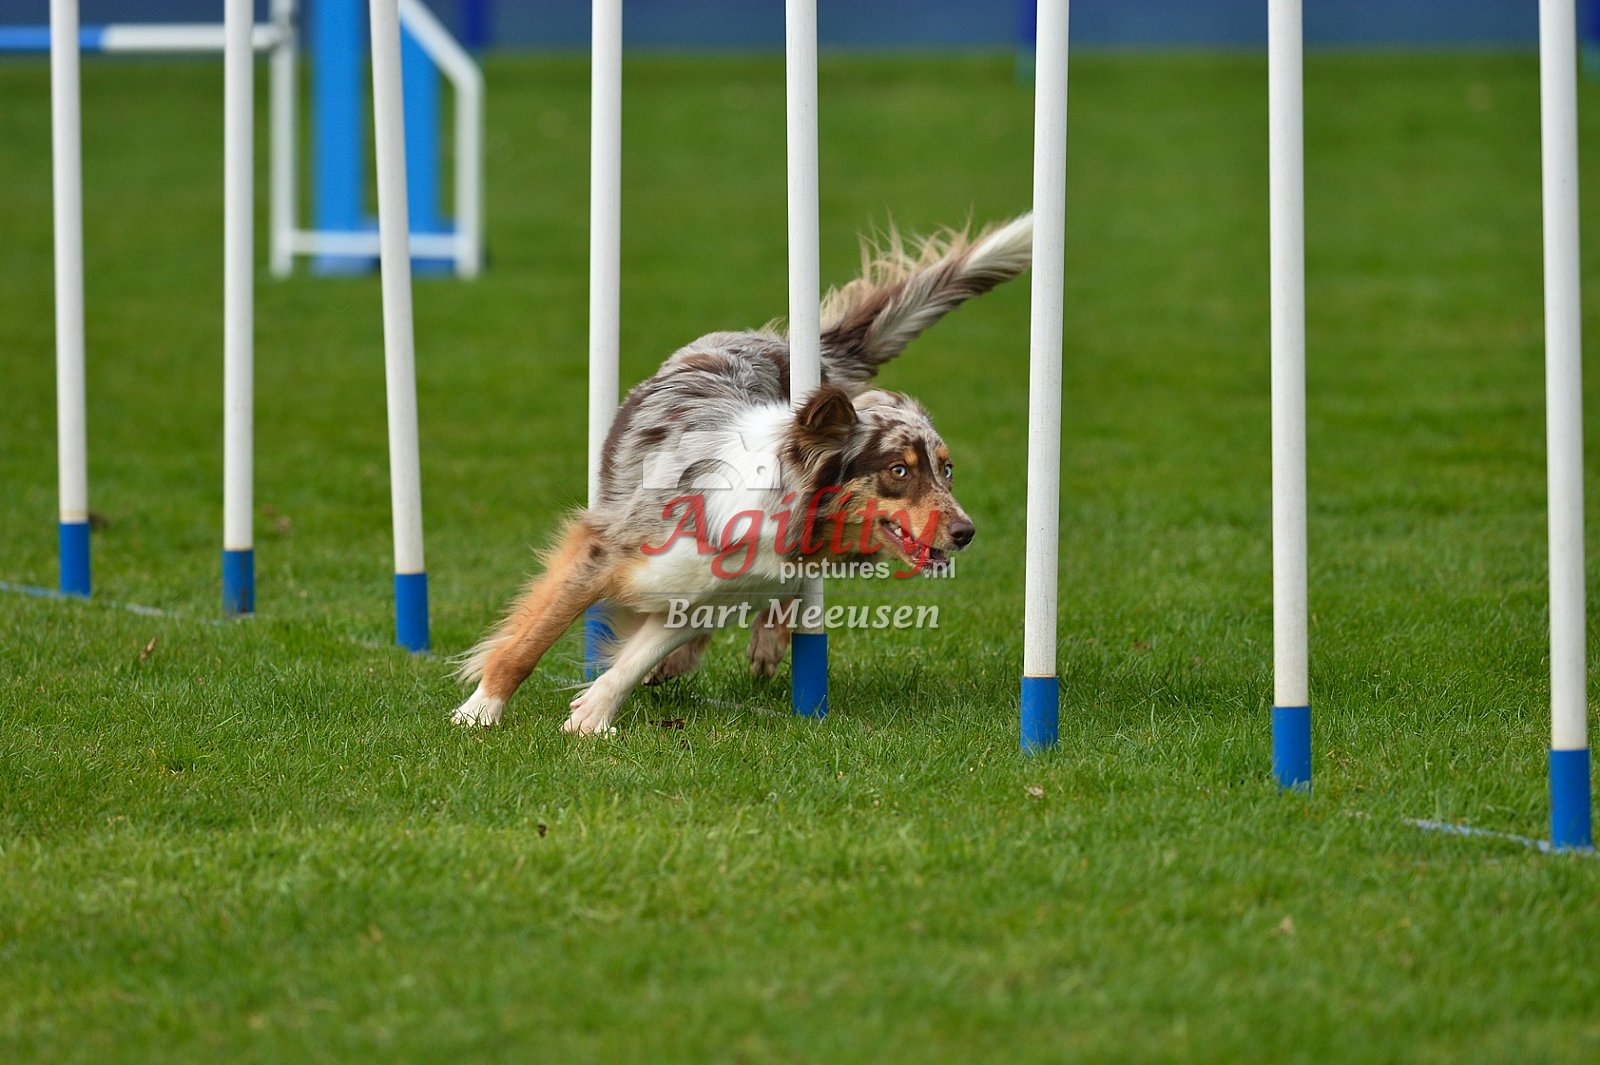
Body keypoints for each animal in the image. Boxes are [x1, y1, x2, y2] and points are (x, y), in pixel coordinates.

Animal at [451, 214, 1033, 733]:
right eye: (898, 470)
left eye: (947, 469)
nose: (966, 532)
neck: (772, 516)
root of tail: (784, 346)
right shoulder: (605, 552)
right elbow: (528, 643)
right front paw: (478, 714)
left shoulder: (705, 597)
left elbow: (634, 660)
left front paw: (591, 716)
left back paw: (760, 642)